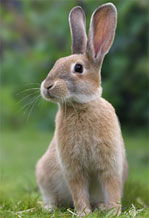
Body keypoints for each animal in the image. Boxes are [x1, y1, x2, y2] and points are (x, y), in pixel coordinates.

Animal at [35, 2, 128, 216]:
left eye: (78, 68)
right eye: (56, 63)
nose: (47, 86)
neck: (81, 105)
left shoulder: (110, 164)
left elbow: (111, 187)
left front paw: (113, 211)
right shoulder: (73, 168)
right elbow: (78, 191)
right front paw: (84, 212)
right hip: (43, 174)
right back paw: (49, 208)